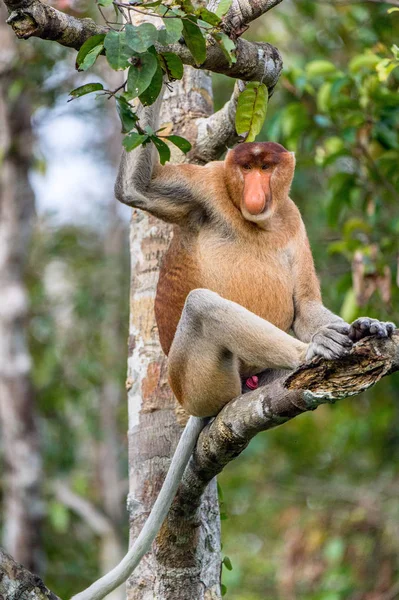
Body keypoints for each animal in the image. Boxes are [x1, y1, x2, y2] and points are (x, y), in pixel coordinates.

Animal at [73, 88, 396, 600]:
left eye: (267, 167)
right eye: (246, 168)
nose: (256, 190)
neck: (258, 220)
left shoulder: (292, 217)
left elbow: (305, 304)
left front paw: (367, 324)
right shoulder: (204, 187)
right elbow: (137, 191)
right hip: (199, 380)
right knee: (202, 304)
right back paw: (311, 354)